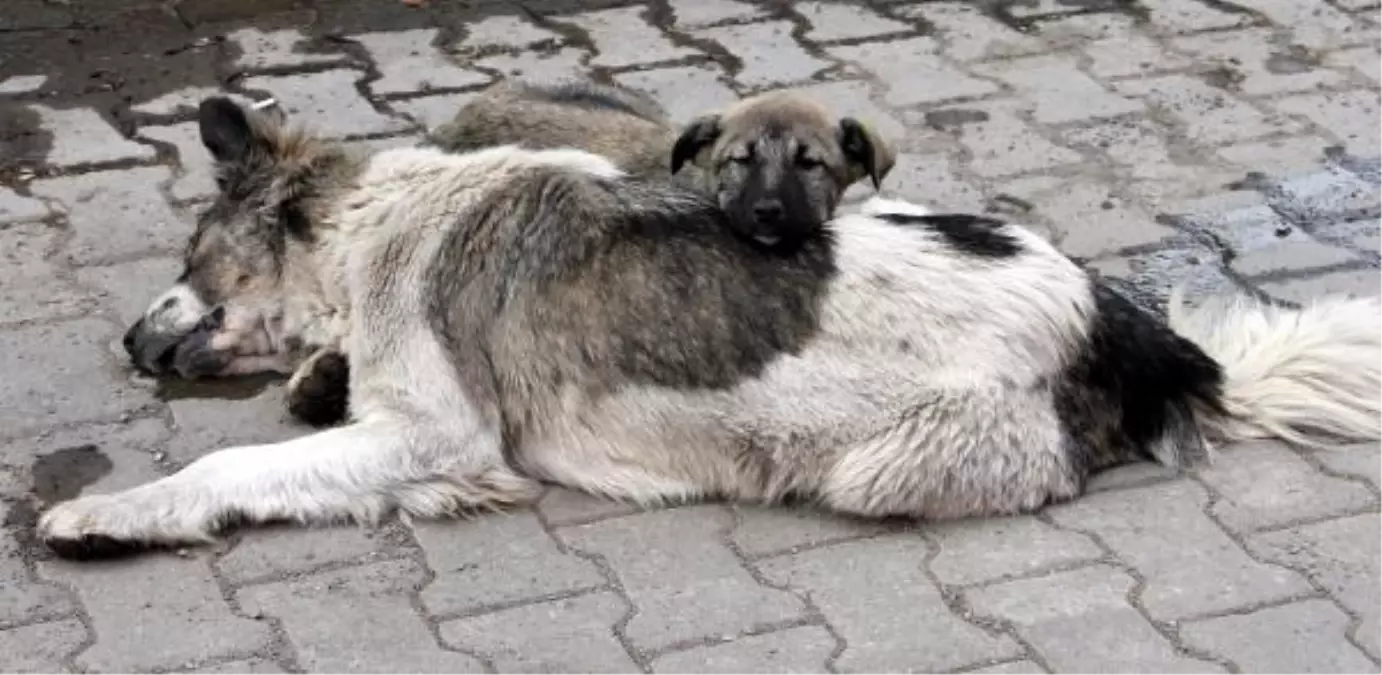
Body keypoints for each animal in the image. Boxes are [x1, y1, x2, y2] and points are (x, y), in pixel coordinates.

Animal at [40, 94, 1382, 556]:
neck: (378, 223)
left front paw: (111, 513)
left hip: (881, 463)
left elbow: (227, 465)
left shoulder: (436, 437)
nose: (127, 342)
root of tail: (1125, 322)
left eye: (189, 261)